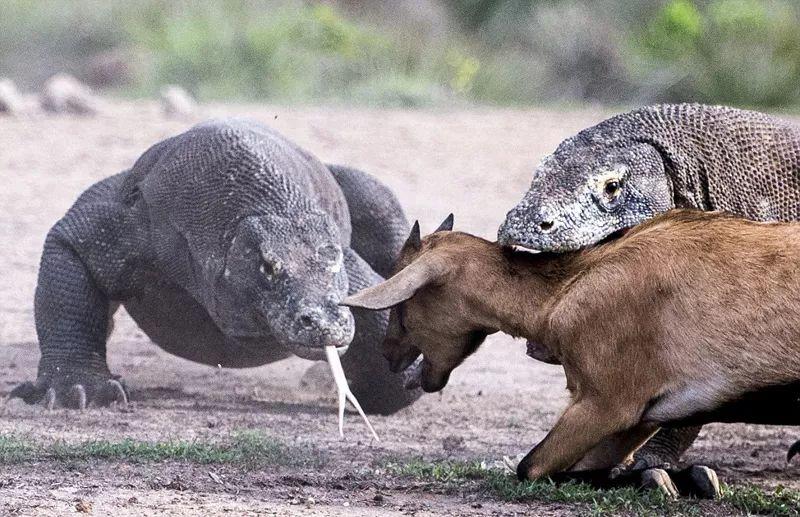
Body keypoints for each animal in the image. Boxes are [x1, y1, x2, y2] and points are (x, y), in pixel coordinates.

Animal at [340, 210, 800, 484]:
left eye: (403, 304)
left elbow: (531, 467)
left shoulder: (606, 404)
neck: (565, 289)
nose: (389, 354)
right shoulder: (637, 418)